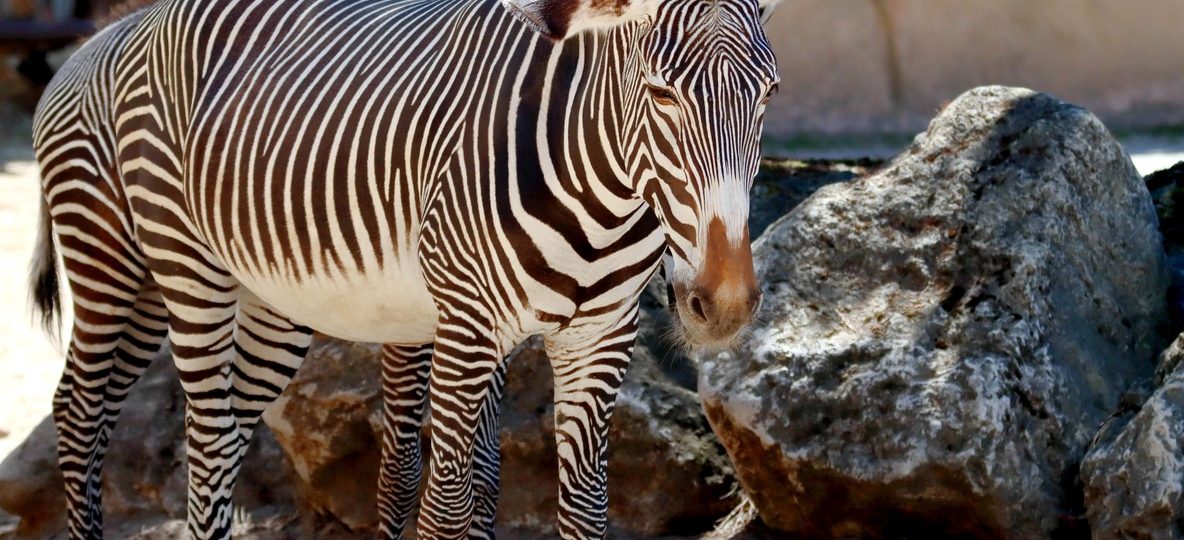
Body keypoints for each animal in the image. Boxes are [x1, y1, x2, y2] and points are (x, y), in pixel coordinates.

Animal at [30, 0, 780, 538]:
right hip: (148, 262)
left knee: (200, 428)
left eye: (769, 96)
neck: (604, 195)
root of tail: (115, 30)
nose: (724, 302)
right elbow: (447, 502)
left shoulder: (598, 337)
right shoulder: (469, 329)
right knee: (138, 423)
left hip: (248, 300)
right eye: (661, 95)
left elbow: (577, 508)